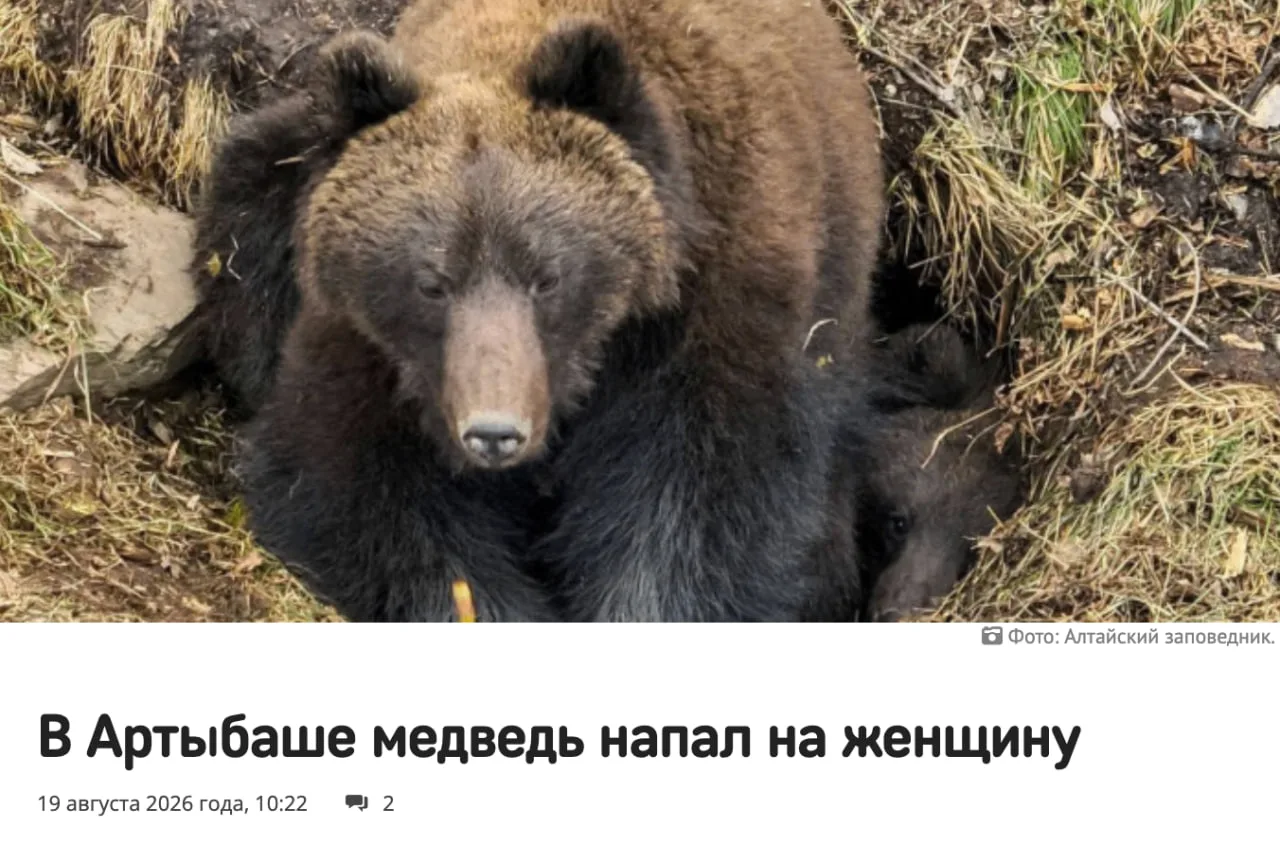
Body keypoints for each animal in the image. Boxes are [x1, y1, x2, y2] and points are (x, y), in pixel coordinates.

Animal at [193, 0, 884, 622]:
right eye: (431, 282)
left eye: (547, 276)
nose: (494, 431)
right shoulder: (371, 349)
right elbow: (357, 488)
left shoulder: (710, 317)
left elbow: (700, 500)